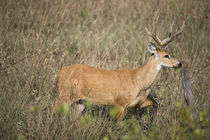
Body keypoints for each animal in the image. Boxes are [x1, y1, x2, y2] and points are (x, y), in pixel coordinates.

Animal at [54, 14, 185, 121]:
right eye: (166, 55)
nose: (179, 64)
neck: (139, 80)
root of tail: (59, 74)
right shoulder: (119, 103)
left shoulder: (138, 102)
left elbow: (155, 103)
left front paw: (152, 123)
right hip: (64, 94)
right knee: (53, 108)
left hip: (79, 101)